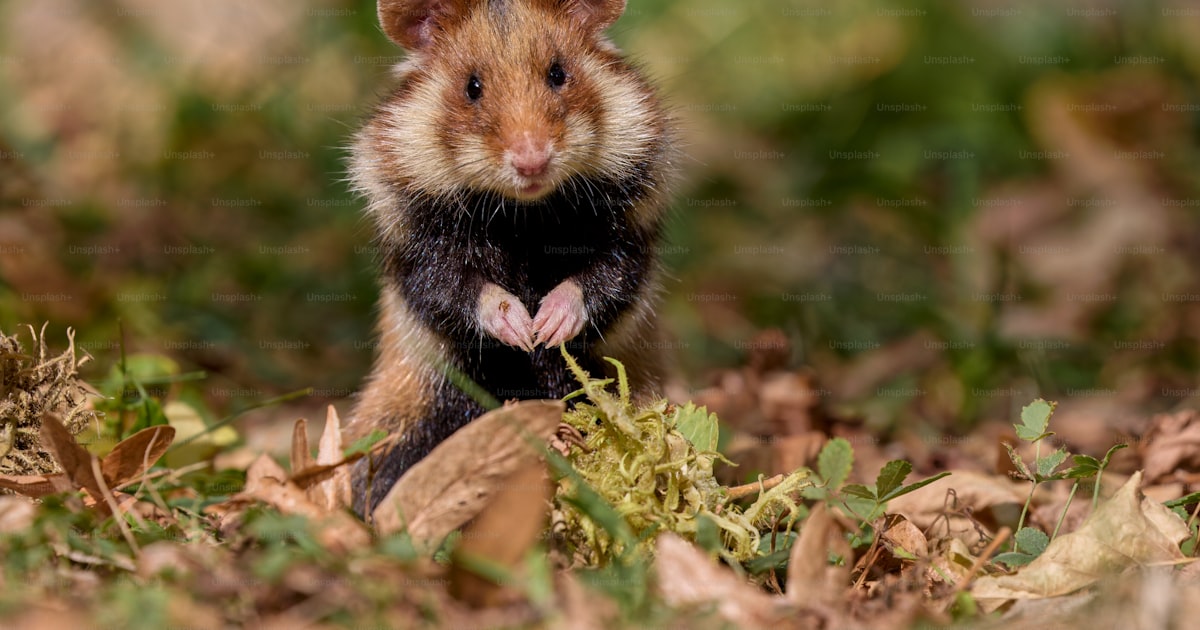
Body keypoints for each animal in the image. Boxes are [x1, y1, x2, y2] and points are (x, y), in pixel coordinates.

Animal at [343, 0, 676, 517]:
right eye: (472, 87)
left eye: (558, 74)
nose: (531, 161)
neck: (524, 216)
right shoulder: (420, 251)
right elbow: (457, 289)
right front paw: (522, 330)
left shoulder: (630, 240)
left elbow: (604, 281)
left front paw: (546, 328)